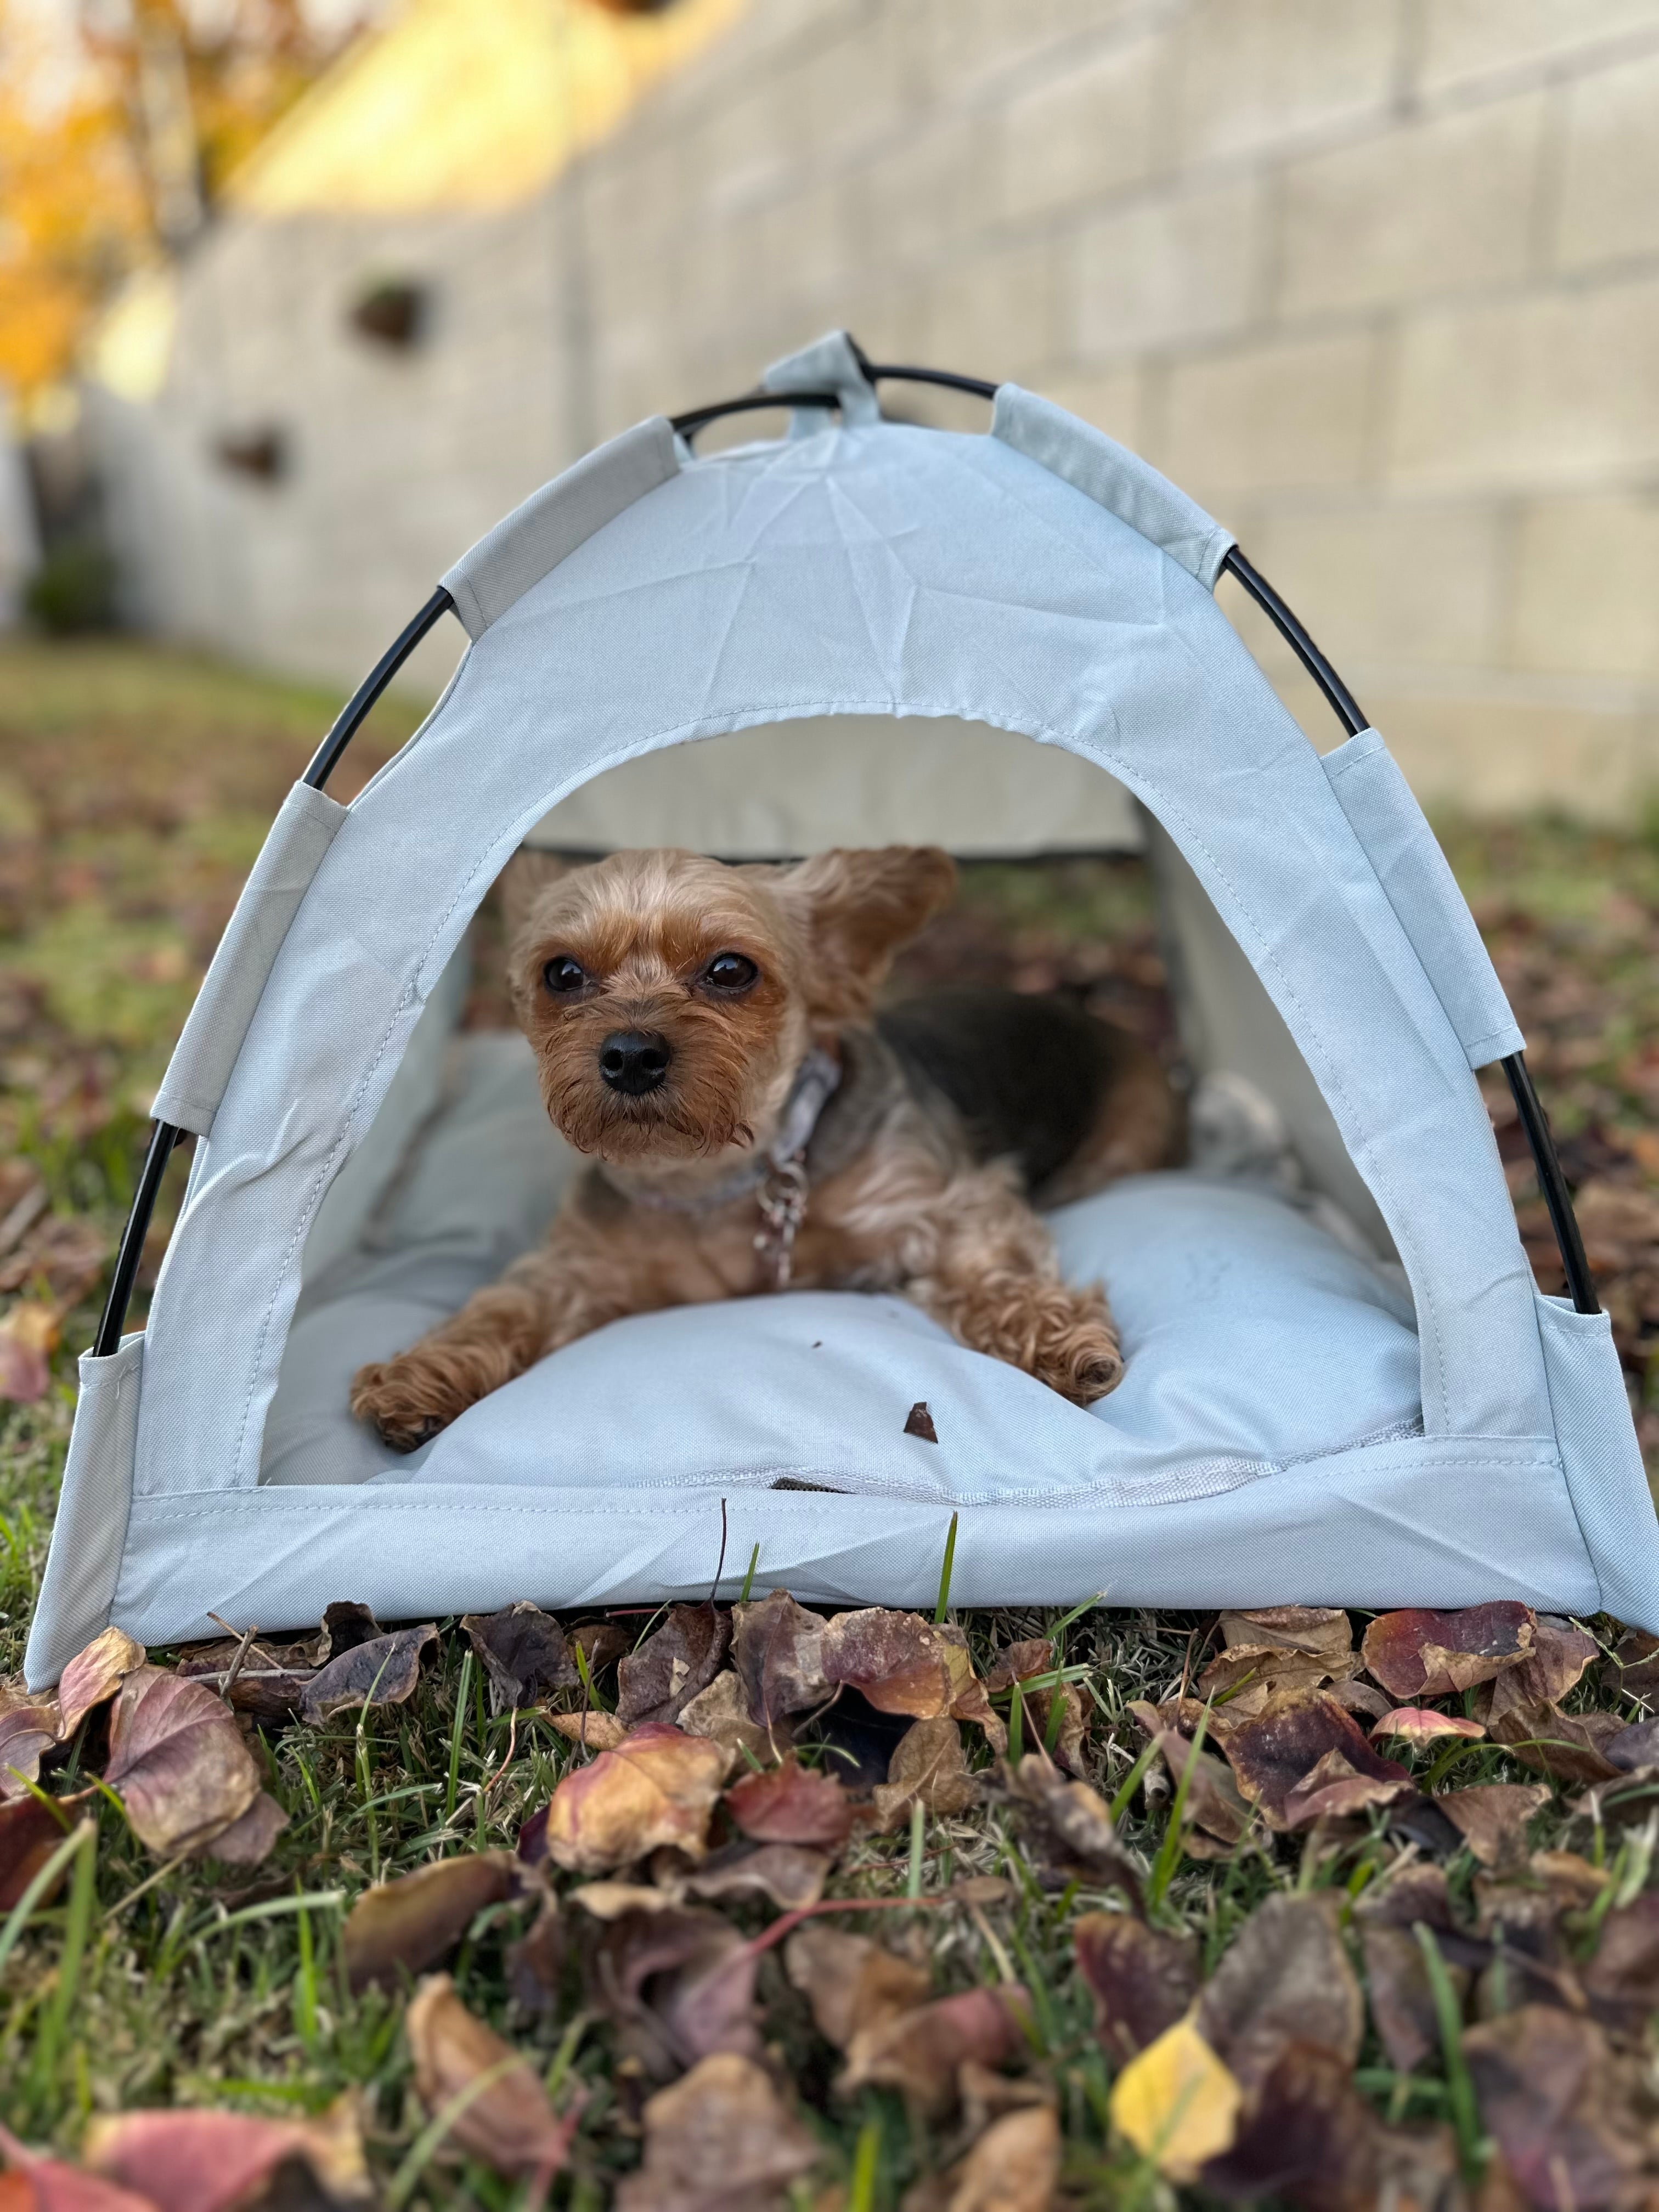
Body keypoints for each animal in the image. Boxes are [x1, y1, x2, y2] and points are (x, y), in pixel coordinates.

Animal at [354, 845, 1186, 1451]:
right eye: (562, 972)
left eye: (730, 969)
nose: (629, 1054)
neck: (712, 1177)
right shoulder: (577, 1266)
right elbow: (504, 1305)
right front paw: (421, 1373)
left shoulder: (946, 1202)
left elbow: (996, 1271)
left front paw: (1062, 1341)